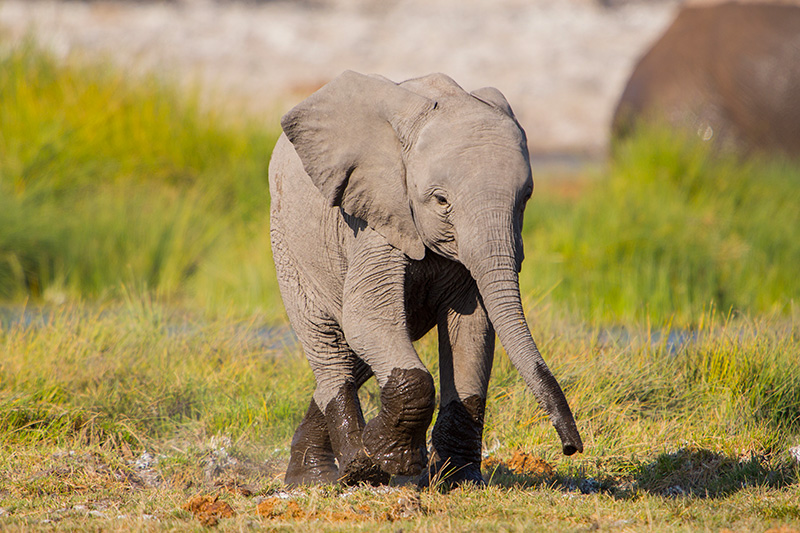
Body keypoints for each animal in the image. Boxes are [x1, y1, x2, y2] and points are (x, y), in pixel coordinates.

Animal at [268, 69, 580, 486]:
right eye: (441, 201)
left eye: (526, 197)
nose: (571, 447)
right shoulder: (376, 218)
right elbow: (367, 317)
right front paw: (391, 459)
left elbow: (471, 328)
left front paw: (456, 479)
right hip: (287, 242)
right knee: (330, 341)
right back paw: (350, 469)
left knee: (357, 353)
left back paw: (311, 474)